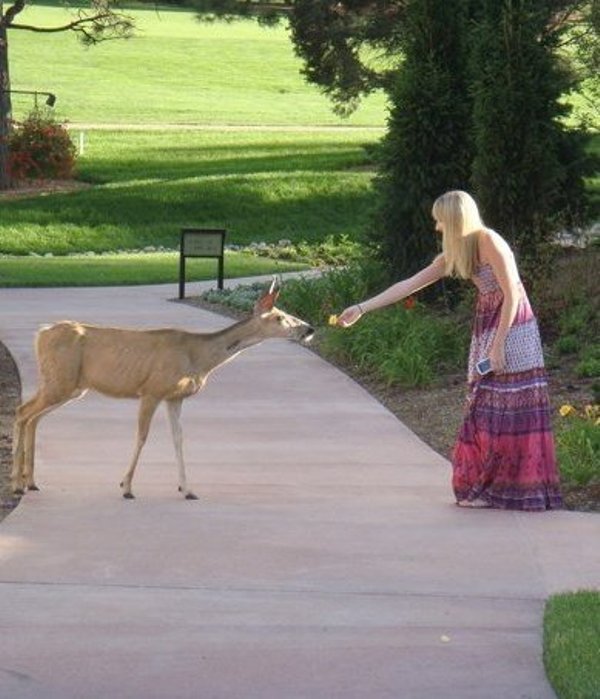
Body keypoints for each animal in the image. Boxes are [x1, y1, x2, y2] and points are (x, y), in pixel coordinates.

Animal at [11, 280, 314, 500]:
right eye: (280, 317)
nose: (309, 328)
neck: (198, 358)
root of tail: (41, 333)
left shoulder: (174, 397)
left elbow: (178, 439)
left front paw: (187, 489)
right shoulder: (152, 390)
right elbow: (142, 436)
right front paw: (126, 487)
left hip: (69, 386)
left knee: (32, 417)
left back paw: (31, 482)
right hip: (60, 381)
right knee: (22, 411)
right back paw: (16, 483)